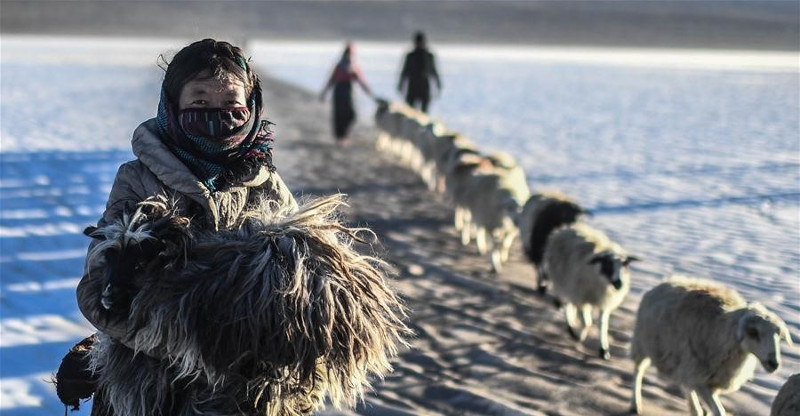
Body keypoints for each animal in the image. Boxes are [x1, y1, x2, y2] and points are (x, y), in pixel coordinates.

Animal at [544, 223, 636, 360]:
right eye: (607, 265)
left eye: (623, 265)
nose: (619, 284)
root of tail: (565, 229)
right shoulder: (583, 299)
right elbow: (588, 322)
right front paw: (580, 337)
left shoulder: (603, 303)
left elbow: (602, 325)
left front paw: (604, 350)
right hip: (563, 283)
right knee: (567, 304)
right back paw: (571, 328)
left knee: (571, 305)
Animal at [632, 276, 792, 416]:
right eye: (754, 332)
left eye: (779, 336)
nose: (774, 363)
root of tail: (665, 282)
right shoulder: (703, 381)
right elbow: (719, 411)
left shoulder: (709, 382)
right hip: (642, 344)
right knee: (638, 371)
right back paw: (635, 404)